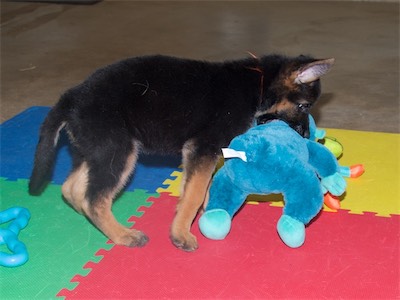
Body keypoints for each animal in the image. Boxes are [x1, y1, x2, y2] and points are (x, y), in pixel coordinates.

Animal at [28, 53, 334, 251]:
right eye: (304, 106)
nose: (307, 136)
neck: (256, 81)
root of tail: (71, 97)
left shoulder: (200, 155)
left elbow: (197, 190)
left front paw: (208, 213)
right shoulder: (203, 148)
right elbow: (195, 193)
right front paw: (181, 234)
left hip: (97, 151)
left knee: (72, 189)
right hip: (118, 152)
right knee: (95, 199)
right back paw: (123, 235)